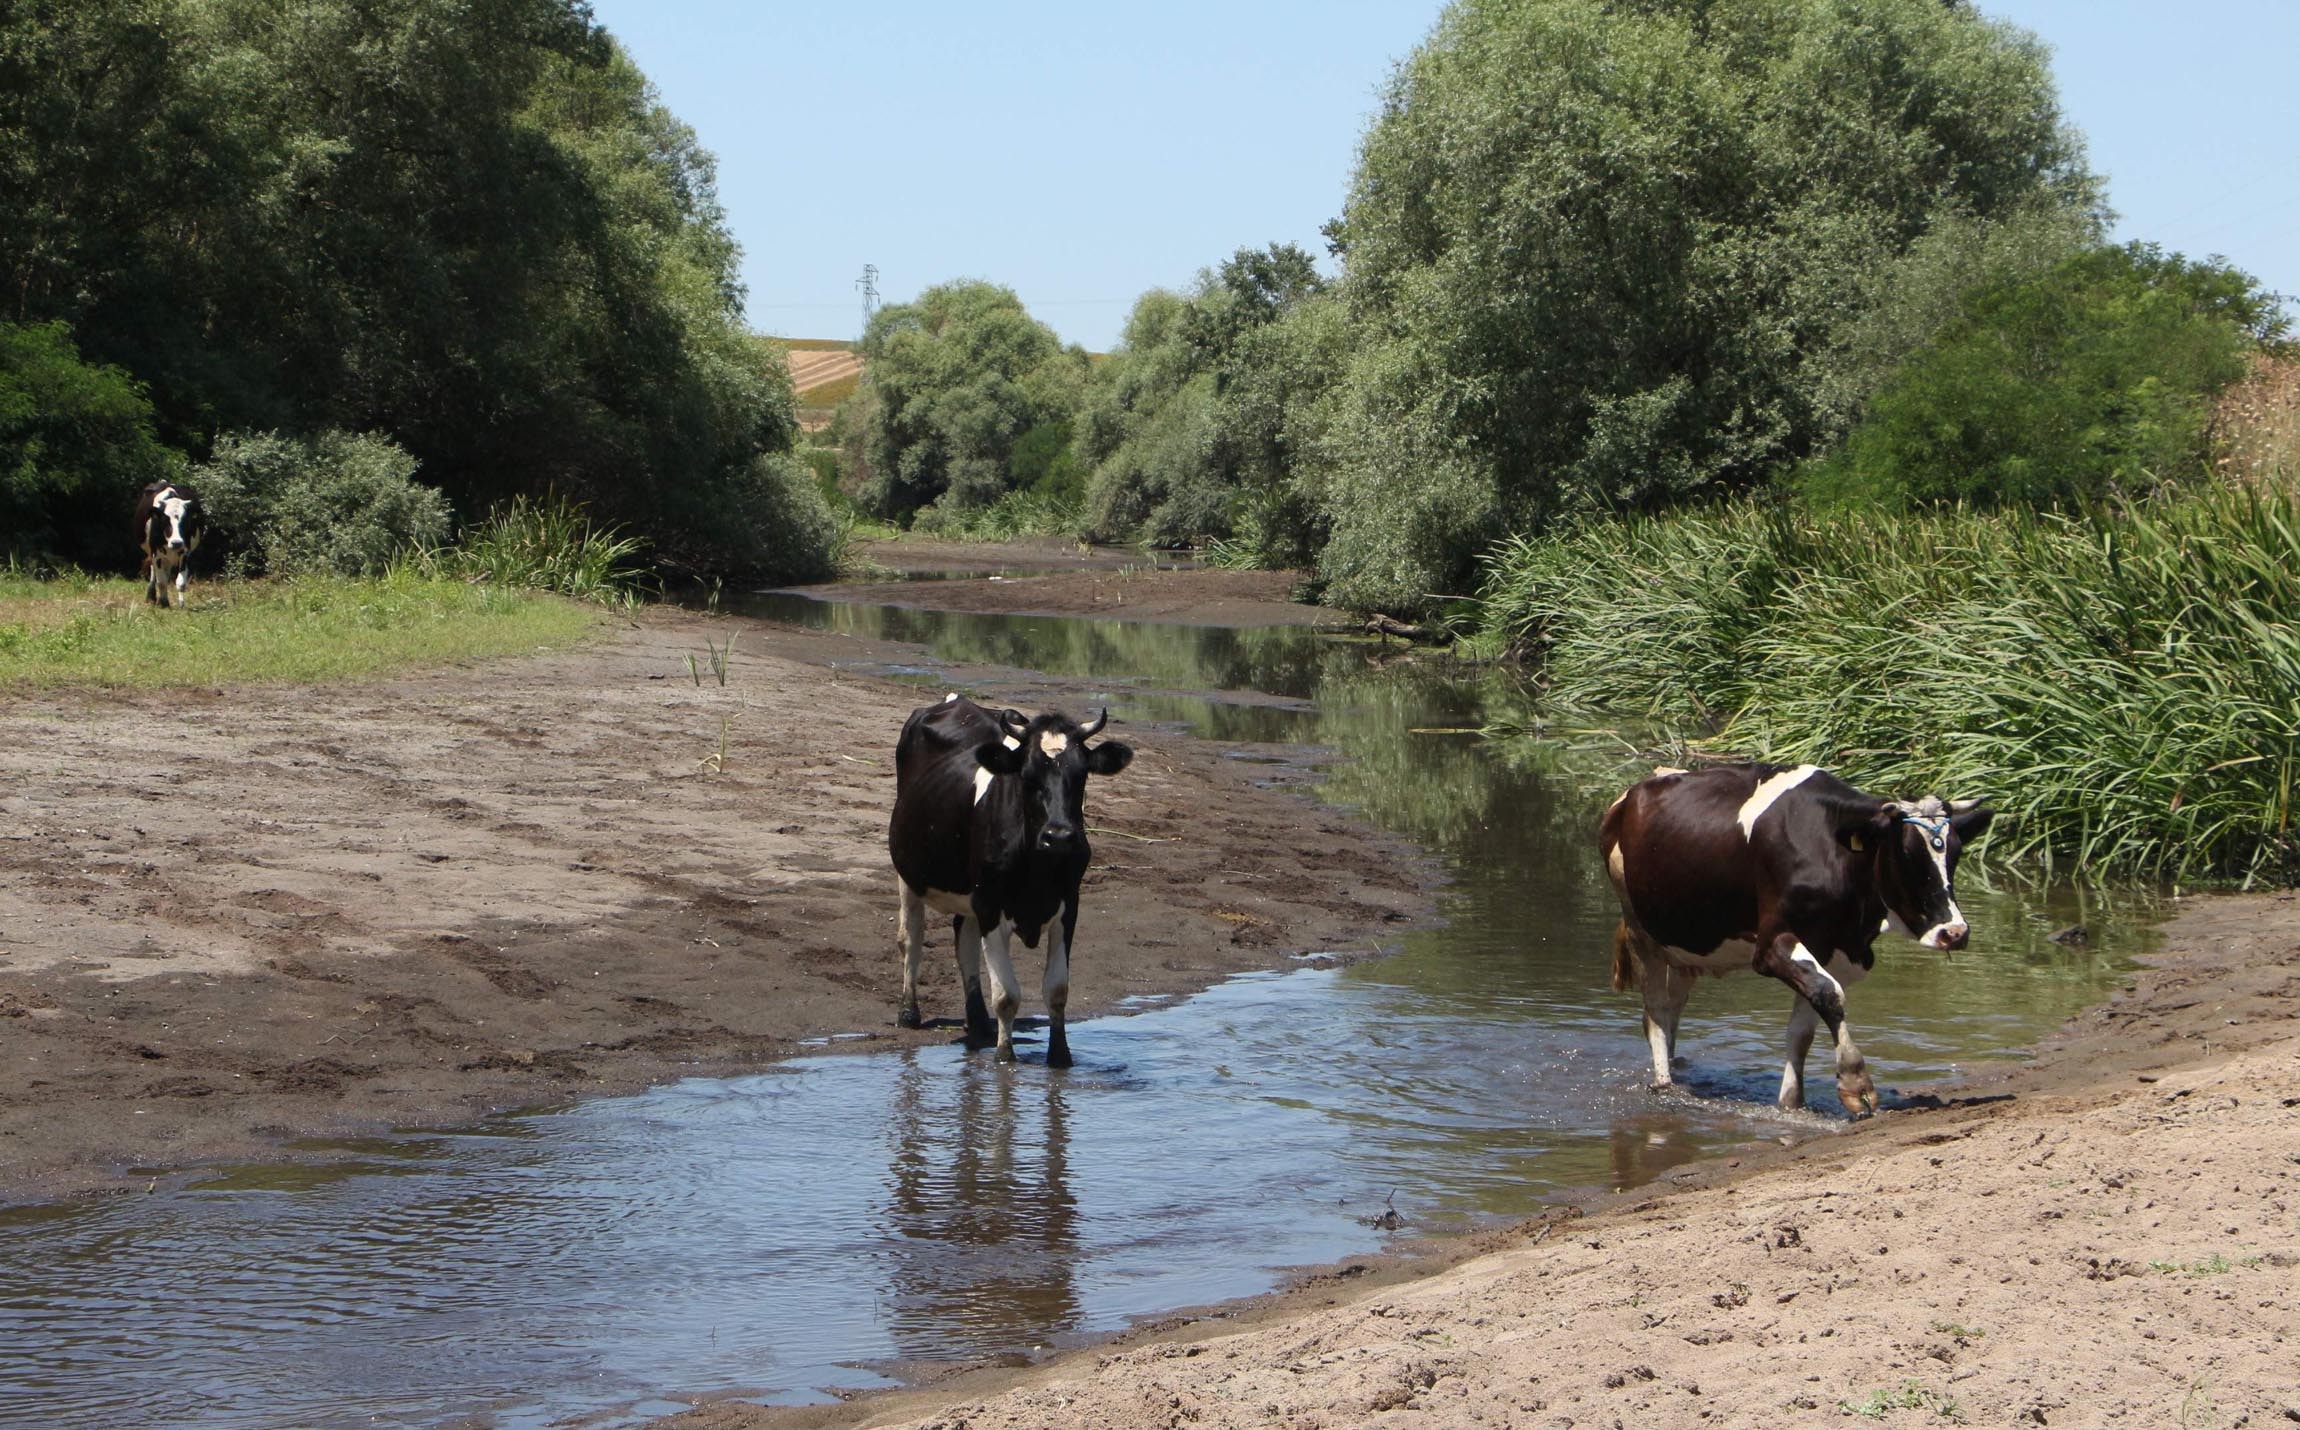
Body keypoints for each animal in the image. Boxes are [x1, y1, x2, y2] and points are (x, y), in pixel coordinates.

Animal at [889, 693, 1133, 1066]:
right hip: (910, 871)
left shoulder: (1068, 904)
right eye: (1028, 777)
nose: (1059, 836)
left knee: (964, 940)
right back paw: (908, 1012)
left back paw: (978, 1023)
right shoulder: (991, 905)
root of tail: (957, 700)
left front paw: (1059, 1057)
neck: (1037, 872)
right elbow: (1006, 995)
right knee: (911, 937)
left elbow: (1057, 990)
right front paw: (1005, 1056)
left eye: (1081, 776)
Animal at [1598, 762, 1993, 1118]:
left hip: (1685, 946)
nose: (1954, 932)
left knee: (1674, 1009)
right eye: (1907, 854)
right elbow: (1830, 994)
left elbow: (1805, 1026)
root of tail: (1633, 792)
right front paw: (1856, 1084)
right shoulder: (1772, 946)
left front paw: (1792, 1102)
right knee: (1656, 1013)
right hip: (1641, 931)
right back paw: (1664, 1084)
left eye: (1955, 852)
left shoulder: (1833, 950)